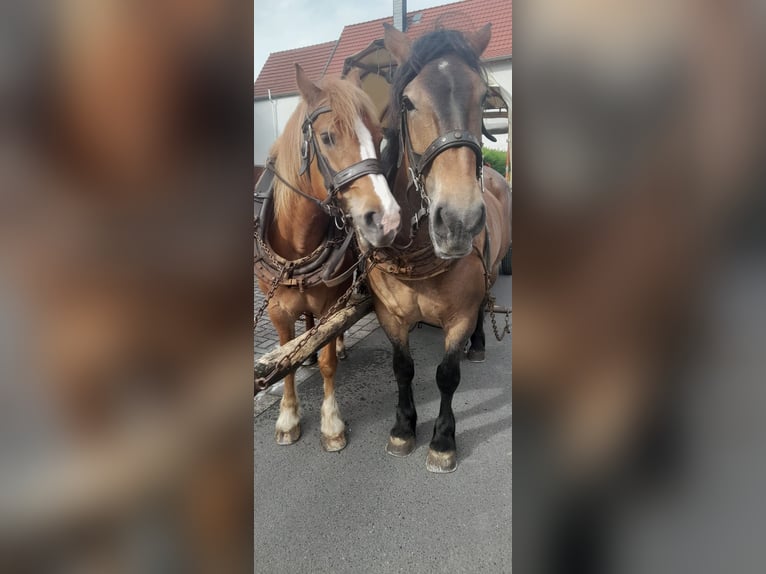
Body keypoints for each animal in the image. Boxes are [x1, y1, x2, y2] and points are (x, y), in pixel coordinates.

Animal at [256, 64, 401, 451]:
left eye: (378, 137)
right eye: (327, 137)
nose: (387, 219)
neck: (297, 248)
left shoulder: (329, 304)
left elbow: (327, 362)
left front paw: (332, 424)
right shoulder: (277, 311)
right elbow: (286, 359)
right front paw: (288, 418)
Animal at [366, 23, 512, 473]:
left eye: (483, 98)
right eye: (407, 102)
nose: (459, 220)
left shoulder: (460, 313)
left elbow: (446, 375)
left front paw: (443, 440)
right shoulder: (390, 314)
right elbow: (403, 368)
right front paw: (402, 429)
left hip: (491, 270)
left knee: (484, 305)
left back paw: (477, 345)